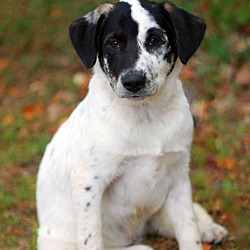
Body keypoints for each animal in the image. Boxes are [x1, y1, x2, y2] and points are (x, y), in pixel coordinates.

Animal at [35, 0, 229, 249]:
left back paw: (210, 229)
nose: (133, 82)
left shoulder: (178, 176)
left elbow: (189, 230)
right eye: (114, 43)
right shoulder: (88, 183)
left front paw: (198, 233)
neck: (145, 115)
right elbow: (91, 238)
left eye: (155, 40)